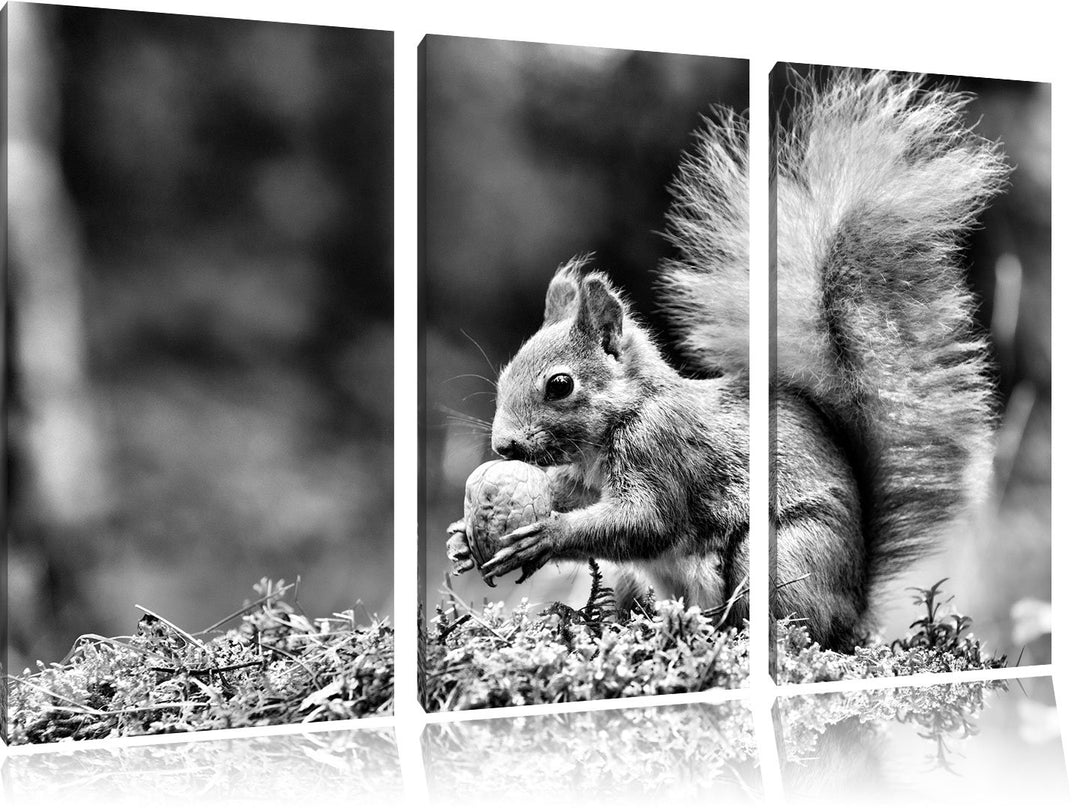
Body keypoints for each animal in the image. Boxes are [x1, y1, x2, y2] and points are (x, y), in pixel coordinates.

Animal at [446, 70, 1008, 652]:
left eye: (560, 385)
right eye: (506, 373)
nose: (503, 446)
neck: (626, 416)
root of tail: (853, 608)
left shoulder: (663, 452)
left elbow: (644, 523)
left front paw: (546, 536)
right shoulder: (583, 477)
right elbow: (569, 494)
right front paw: (462, 537)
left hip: (778, 558)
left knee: (788, 622)